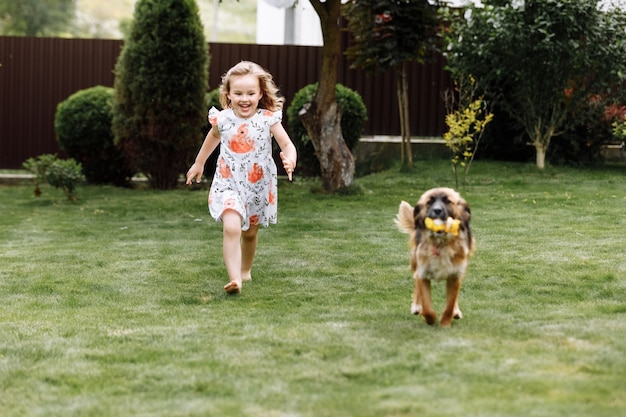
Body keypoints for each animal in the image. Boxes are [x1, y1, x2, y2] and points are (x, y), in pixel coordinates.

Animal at [394, 187, 472, 326]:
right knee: (416, 285)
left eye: (448, 201)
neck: (441, 243)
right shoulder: (423, 273)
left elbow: (450, 304)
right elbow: (427, 306)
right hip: (416, 263)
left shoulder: (455, 275)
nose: (437, 211)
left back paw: (456, 311)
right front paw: (429, 319)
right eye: (429, 202)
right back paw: (416, 307)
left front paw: (445, 323)